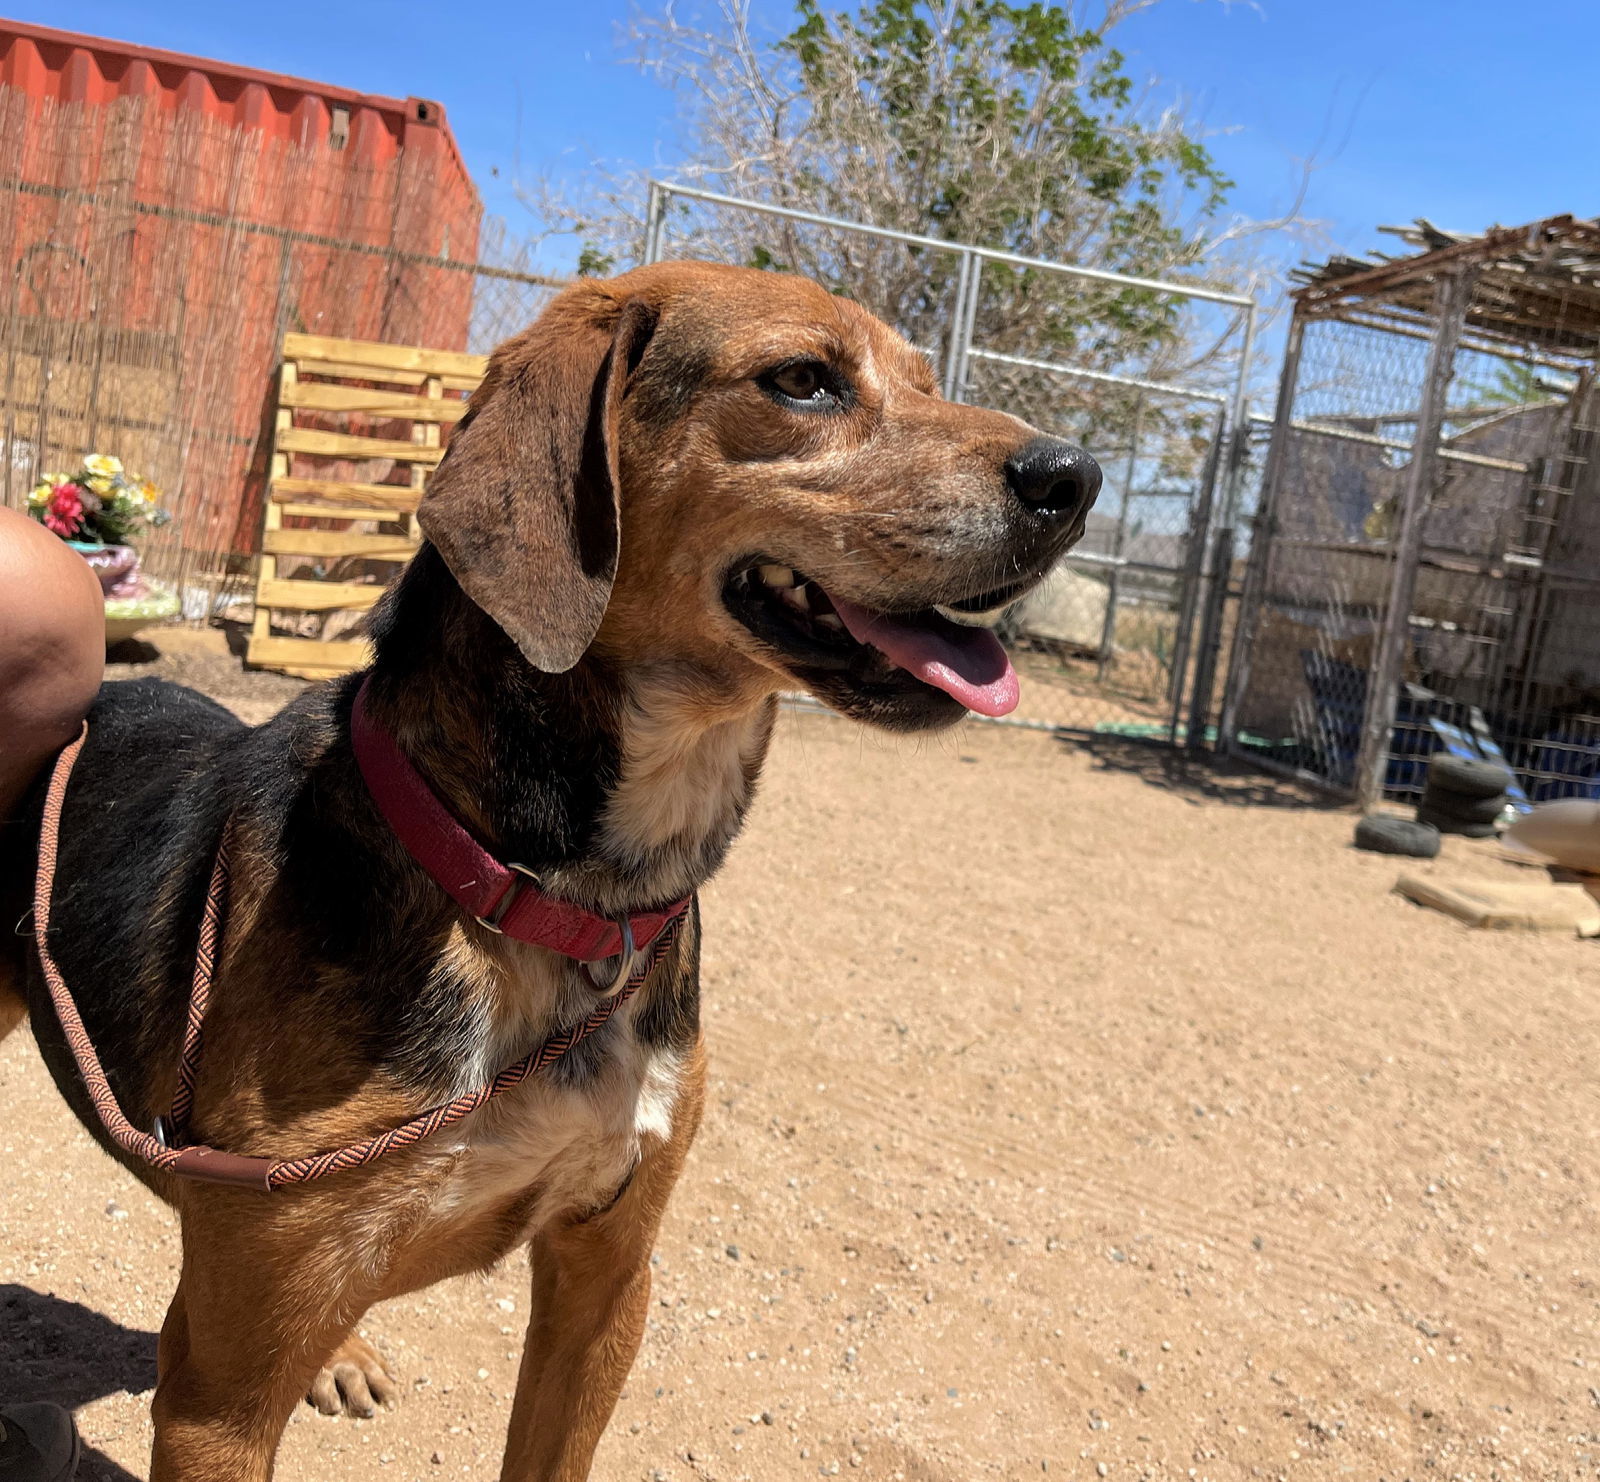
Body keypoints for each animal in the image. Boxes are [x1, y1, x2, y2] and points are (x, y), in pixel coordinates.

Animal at [0, 260, 1100, 1478]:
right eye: (803, 380)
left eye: (925, 380)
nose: (1076, 478)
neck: (553, 898)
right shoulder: (219, 1401)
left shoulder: (607, 1278)